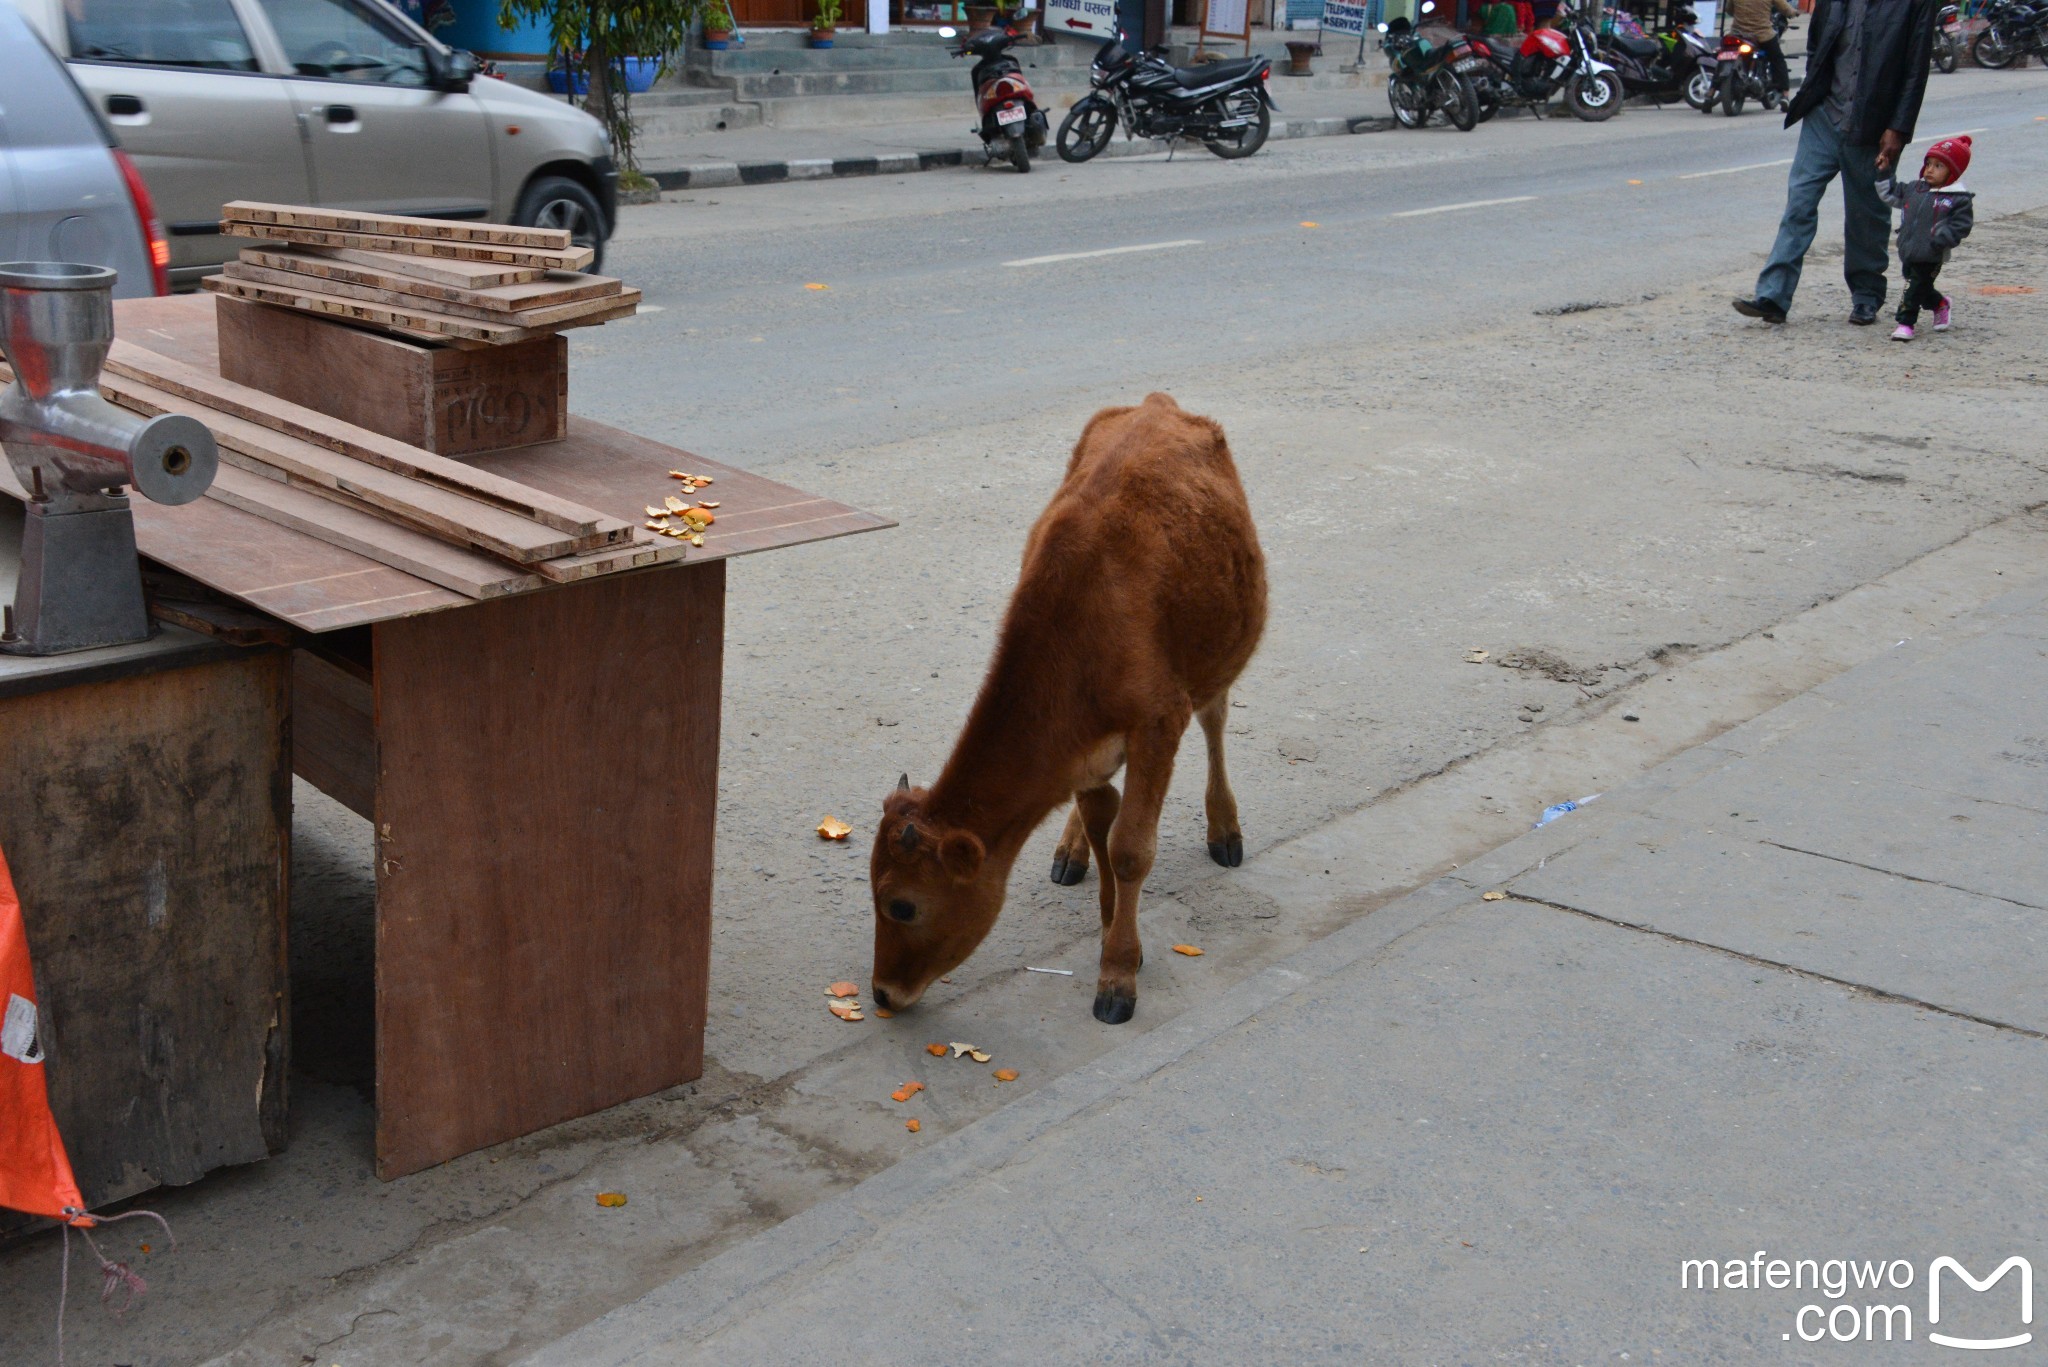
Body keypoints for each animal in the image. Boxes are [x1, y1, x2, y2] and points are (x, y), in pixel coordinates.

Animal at [864, 389, 1261, 1020]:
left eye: (902, 905)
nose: (881, 992)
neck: (1081, 625)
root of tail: (1157, 402)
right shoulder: (1079, 747)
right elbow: (1104, 823)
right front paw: (1115, 931)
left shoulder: (1159, 721)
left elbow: (1129, 848)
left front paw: (1117, 973)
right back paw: (1070, 848)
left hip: (1217, 656)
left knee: (1216, 720)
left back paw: (1224, 827)